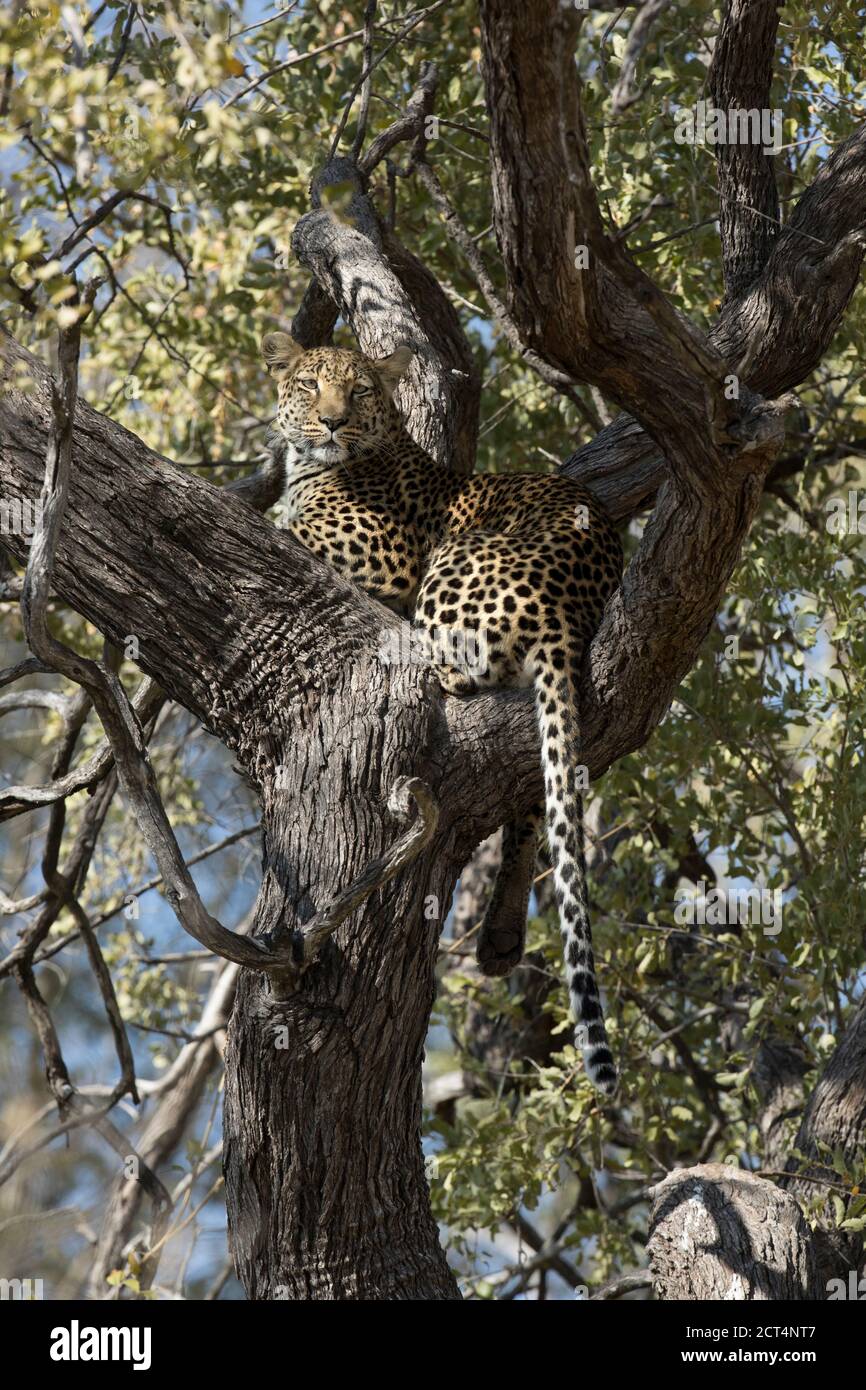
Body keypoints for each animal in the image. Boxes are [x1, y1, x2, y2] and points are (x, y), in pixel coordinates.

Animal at [262, 330, 622, 1089]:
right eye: (310, 385)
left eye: (361, 390)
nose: (333, 422)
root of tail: (570, 615)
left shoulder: (390, 556)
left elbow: (290, 525)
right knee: (532, 799)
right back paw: (501, 935)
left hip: (450, 561)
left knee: (453, 673)